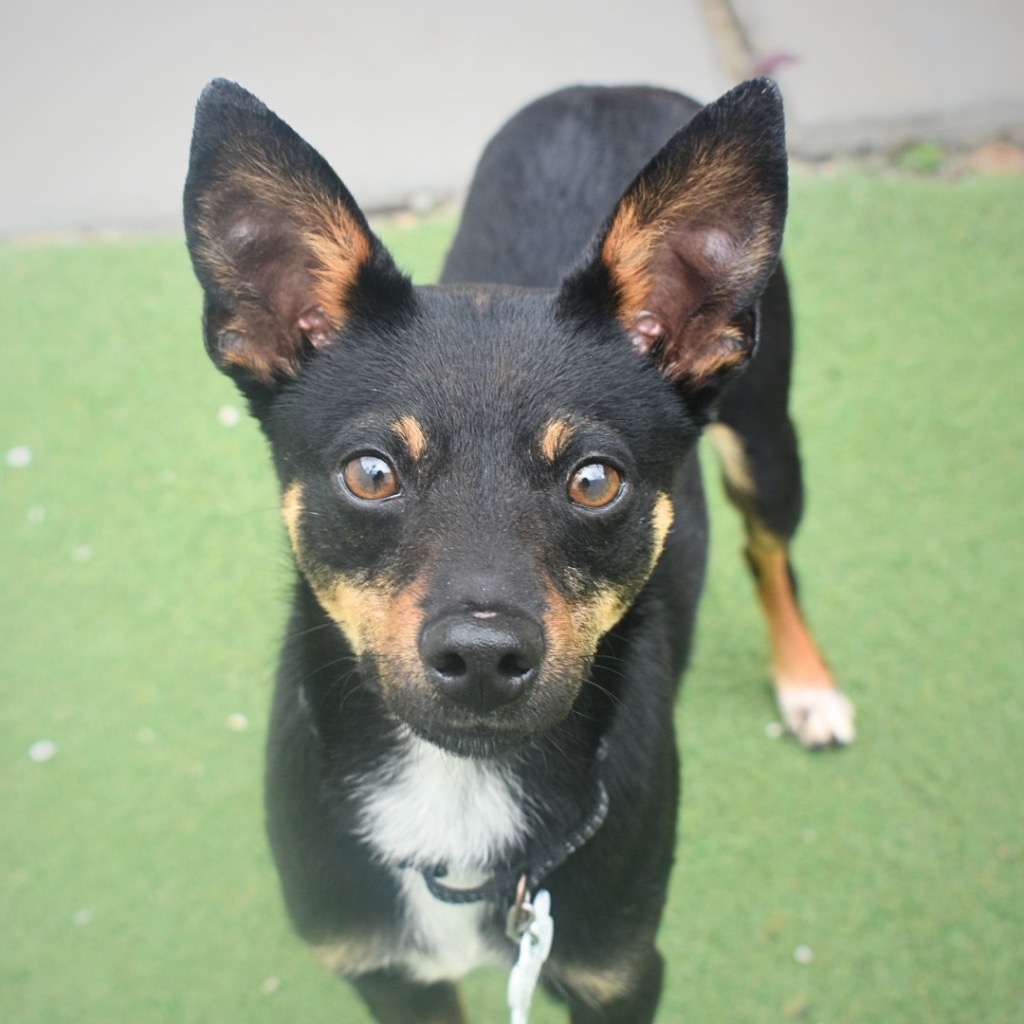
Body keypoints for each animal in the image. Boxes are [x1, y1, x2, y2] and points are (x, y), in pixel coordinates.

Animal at [184, 77, 854, 1024]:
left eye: (595, 480)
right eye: (371, 472)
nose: (482, 656)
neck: (458, 796)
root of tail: (611, 87)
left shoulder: (619, 973)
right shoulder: (388, 976)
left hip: (766, 441)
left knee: (771, 556)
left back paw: (807, 686)